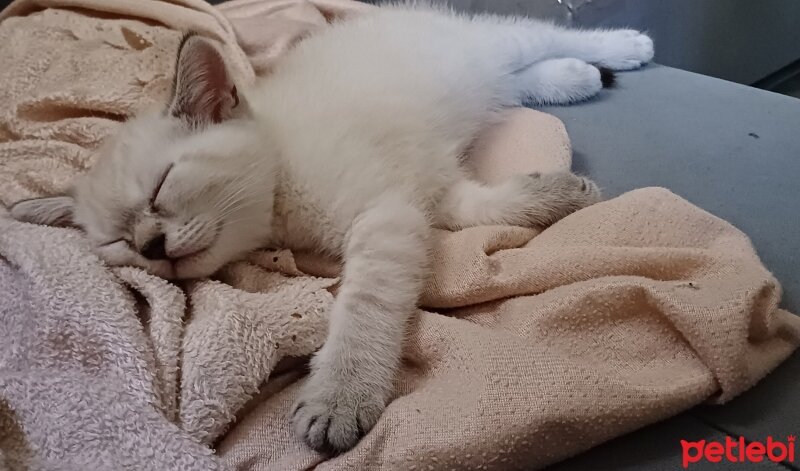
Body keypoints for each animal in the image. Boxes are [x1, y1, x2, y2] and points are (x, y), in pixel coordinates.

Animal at [10, 1, 648, 456]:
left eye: (162, 187)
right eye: (117, 245)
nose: (151, 244)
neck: (280, 188)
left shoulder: (387, 213)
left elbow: (364, 307)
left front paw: (340, 398)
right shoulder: (421, 195)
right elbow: (479, 208)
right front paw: (560, 194)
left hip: (483, 44)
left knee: (533, 34)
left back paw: (622, 46)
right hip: (480, 81)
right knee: (517, 78)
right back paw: (577, 78)